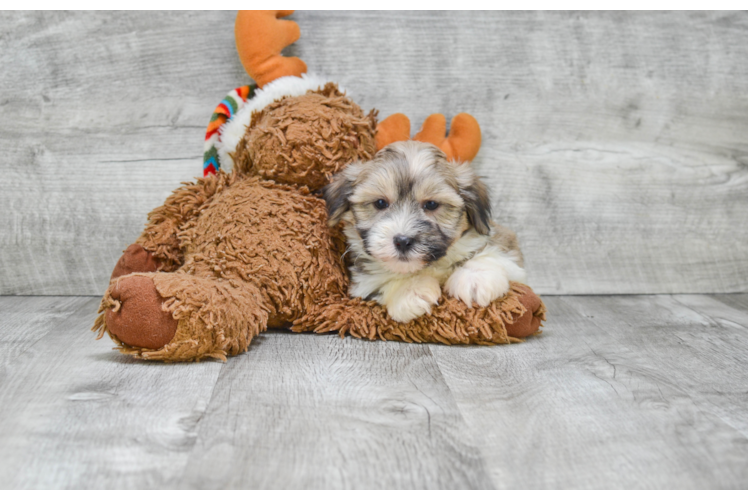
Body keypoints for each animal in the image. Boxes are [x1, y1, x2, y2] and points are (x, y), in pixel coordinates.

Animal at [322, 139, 524, 322]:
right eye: (380, 203)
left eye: (431, 204)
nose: (403, 241)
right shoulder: (362, 287)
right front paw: (409, 291)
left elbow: (493, 253)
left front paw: (474, 277)